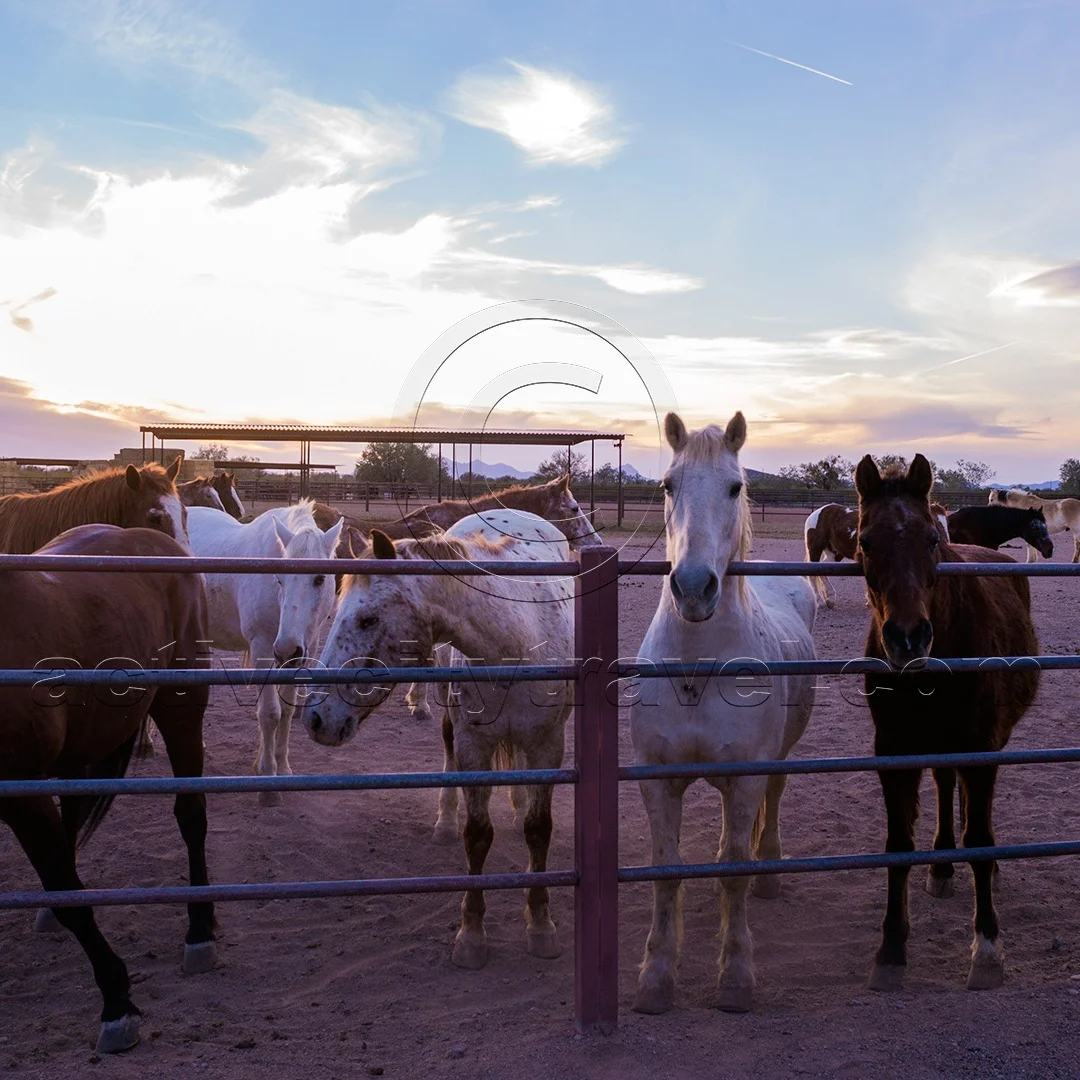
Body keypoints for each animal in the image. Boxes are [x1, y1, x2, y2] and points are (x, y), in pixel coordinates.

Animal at [0, 524, 215, 1053]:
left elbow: (65, 887)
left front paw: (117, 1003)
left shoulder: (21, 794)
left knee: (191, 815)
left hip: (181, 710)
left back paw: (200, 930)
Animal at [184, 501, 343, 803]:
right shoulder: (262, 649)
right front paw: (268, 783)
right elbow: (270, 714)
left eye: (319, 579)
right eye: (279, 579)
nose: (287, 648)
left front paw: (282, 768)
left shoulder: (303, 652)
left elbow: (287, 710)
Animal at [303, 509, 575, 970]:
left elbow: (538, 830)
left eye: (368, 619)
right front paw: (472, 934)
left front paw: (541, 926)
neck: (518, 641)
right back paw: (446, 821)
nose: (316, 718)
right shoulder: (473, 746)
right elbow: (477, 835)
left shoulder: (548, 745)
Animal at [630, 412, 817, 1015]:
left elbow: (733, 872)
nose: (693, 588)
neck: (697, 665)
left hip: (775, 762)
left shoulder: (746, 774)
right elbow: (667, 872)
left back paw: (769, 872)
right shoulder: (656, 778)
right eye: (668, 486)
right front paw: (656, 976)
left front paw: (735, 976)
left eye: (735, 487)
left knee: (771, 806)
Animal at [856, 455, 1039, 993]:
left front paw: (988, 950)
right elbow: (898, 844)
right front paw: (891, 951)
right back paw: (940, 864)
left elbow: (979, 839)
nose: (908, 638)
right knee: (943, 783)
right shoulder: (893, 751)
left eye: (931, 539)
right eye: (865, 541)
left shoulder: (979, 745)